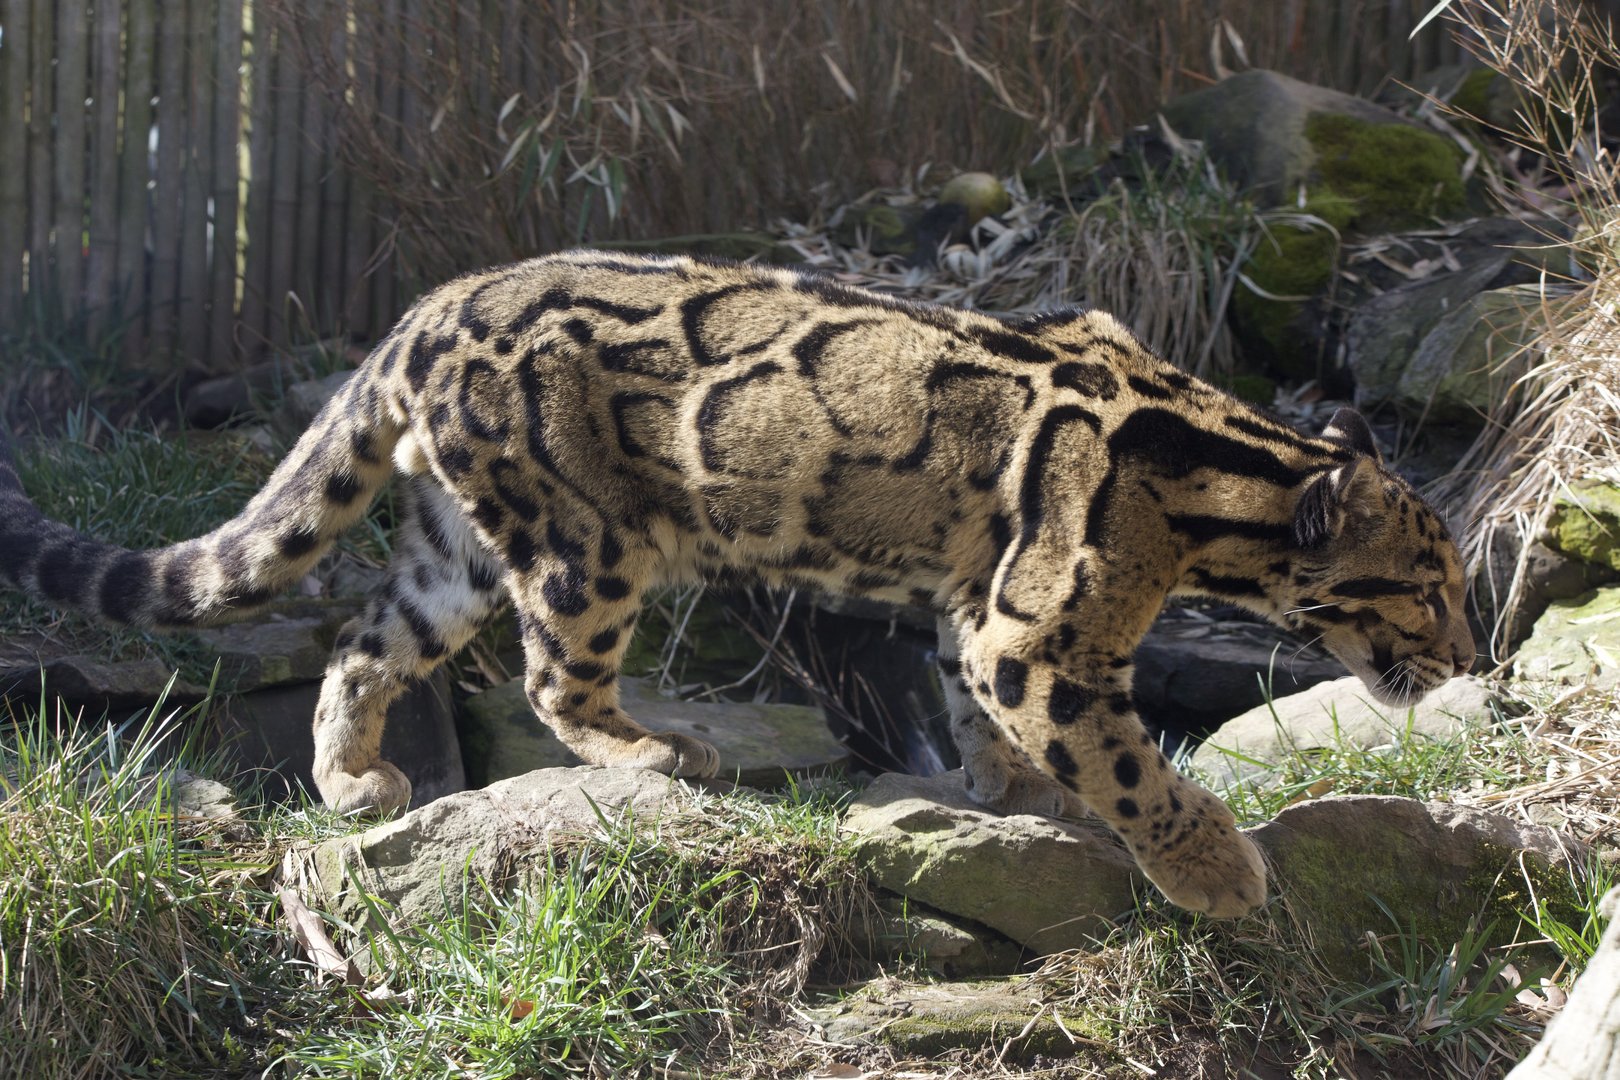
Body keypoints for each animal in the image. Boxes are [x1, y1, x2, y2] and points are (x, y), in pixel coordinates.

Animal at [0, 250, 1475, 918]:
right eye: (1429, 587)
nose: (1467, 659)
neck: (1224, 475)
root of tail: (427, 309)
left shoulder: (979, 607)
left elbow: (994, 722)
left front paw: (1014, 793)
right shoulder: (1035, 636)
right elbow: (1126, 759)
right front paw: (1214, 865)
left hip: (455, 549)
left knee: (369, 638)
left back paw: (353, 779)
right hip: (588, 542)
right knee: (552, 675)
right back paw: (659, 749)